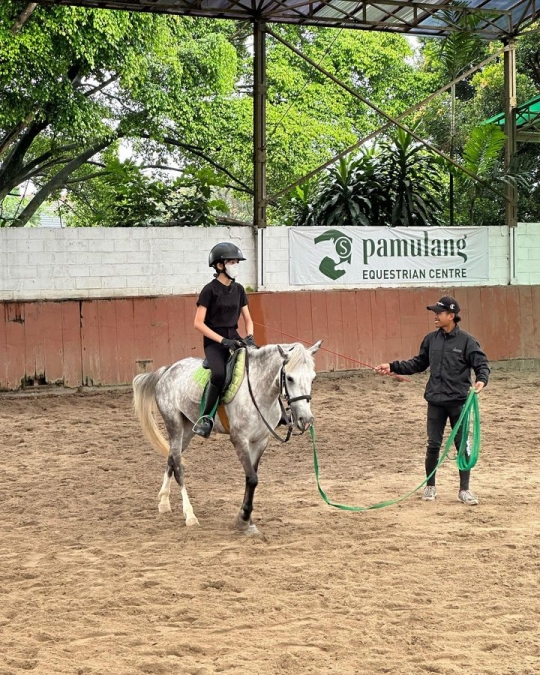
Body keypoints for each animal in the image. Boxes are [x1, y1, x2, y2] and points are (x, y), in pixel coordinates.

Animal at [133, 340, 320, 536]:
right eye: (289, 378)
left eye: (313, 378)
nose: (306, 420)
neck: (259, 391)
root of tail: (168, 370)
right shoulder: (239, 439)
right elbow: (252, 478)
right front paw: (243, 520)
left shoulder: (260, 441)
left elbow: (251, 478)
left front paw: (247, 520)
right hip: (174, 425)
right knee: (177, 465)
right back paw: (189, 515)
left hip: (188, 429)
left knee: (170, 458)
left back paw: (163, 502)